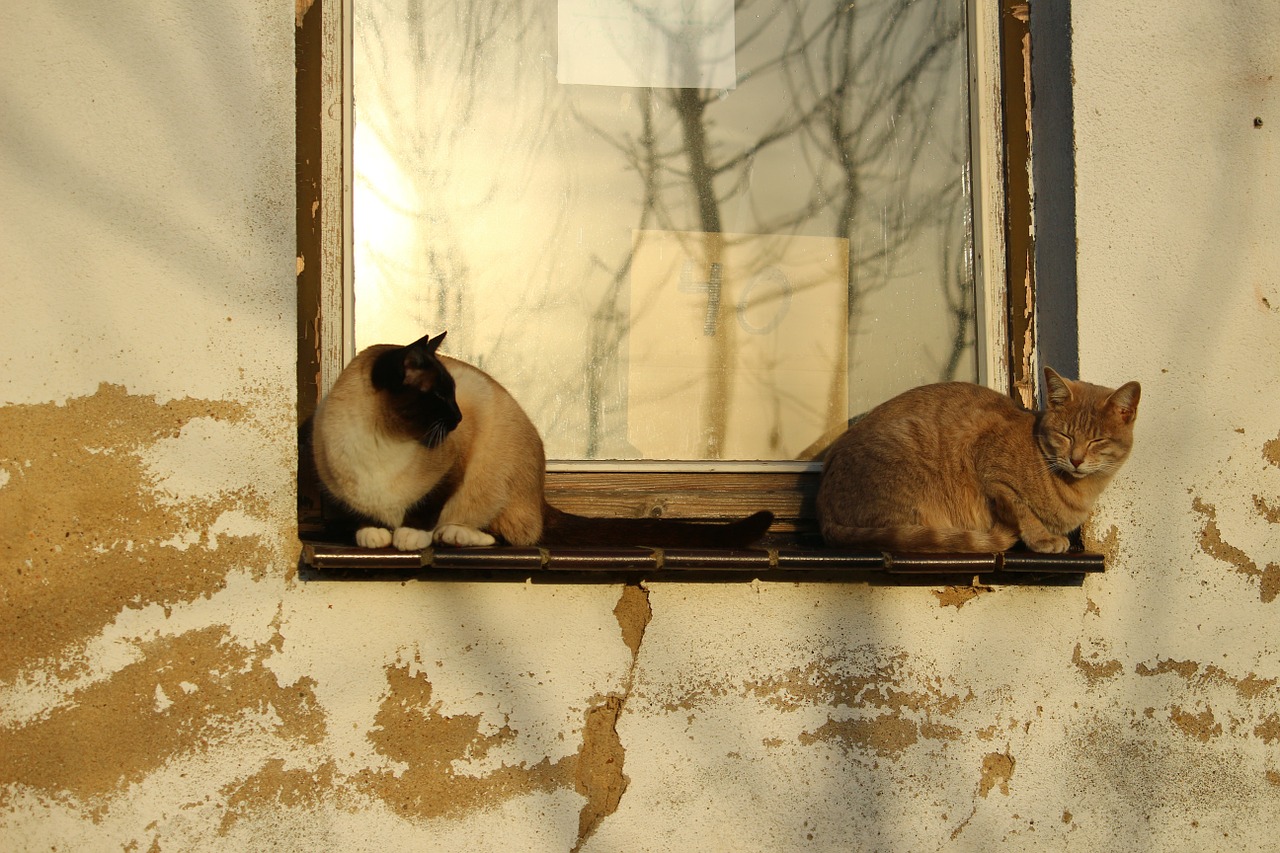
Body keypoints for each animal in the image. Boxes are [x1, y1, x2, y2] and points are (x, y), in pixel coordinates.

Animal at [309, 327, 768, 548]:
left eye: (452, 395)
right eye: (439, 397)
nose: (457, 417)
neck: (383, 440)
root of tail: (542, 494)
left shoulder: (457, 461)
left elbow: (427, 505)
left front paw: (408, 536)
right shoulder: (340, 487)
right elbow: (362, 514)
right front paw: (371, 534)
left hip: (494, 464)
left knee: (509, 536)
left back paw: (451, 535)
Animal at [819, 366, 1141, 550]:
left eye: (1097, 440)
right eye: (1065, 436)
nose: (1075, 460)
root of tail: (822, 507)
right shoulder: (988, 463)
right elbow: (1022, 508)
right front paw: (1041, 538)